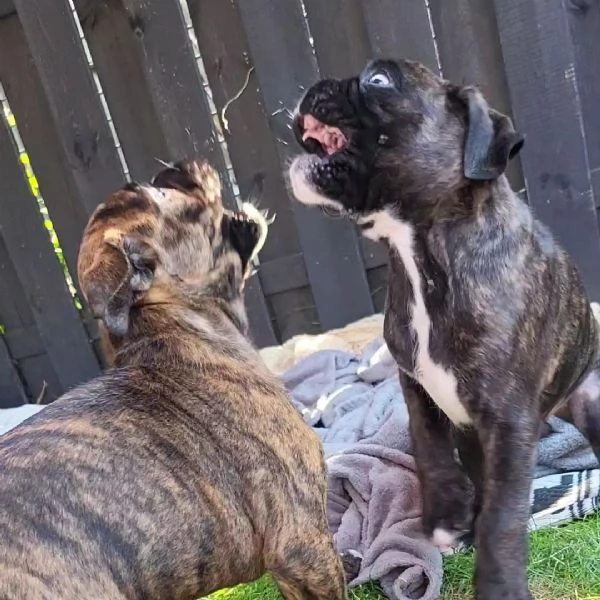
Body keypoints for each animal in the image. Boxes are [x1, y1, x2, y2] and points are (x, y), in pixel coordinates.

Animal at [288, 57, 596, 600]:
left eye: (378, 80)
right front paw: (447, 516)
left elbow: (504, 517)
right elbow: (430, 449)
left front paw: (499, 586)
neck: (420, 252)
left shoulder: (510, 422)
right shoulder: (417, 385)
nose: (314, 84)